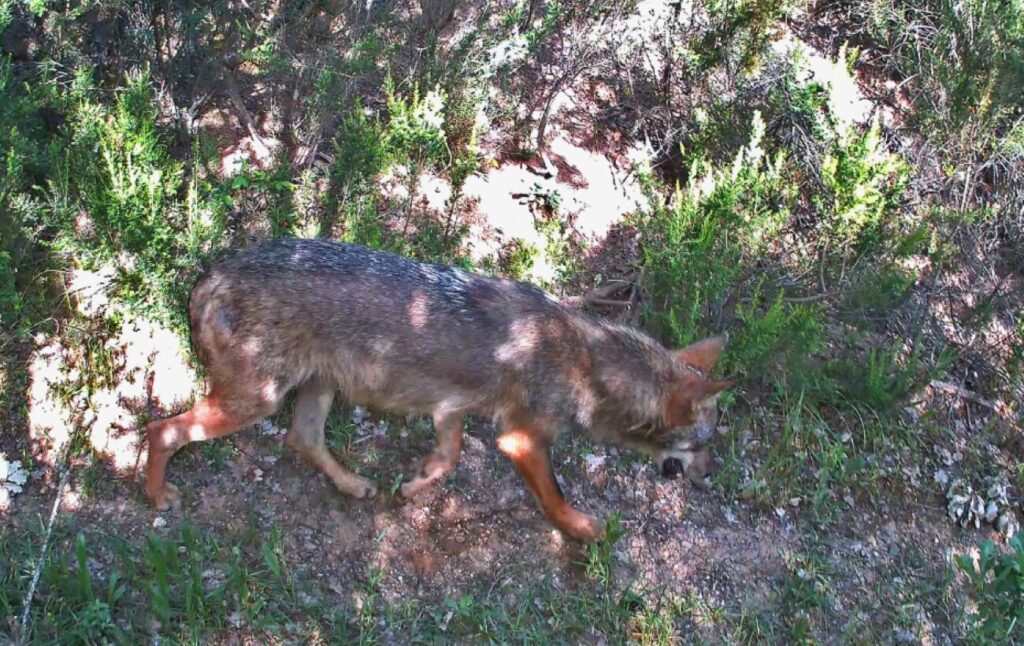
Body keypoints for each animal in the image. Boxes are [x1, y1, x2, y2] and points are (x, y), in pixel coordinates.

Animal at [144, 238, 731, 542]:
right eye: (701, 445)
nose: (711, 476)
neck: (588, 364)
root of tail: (211, 274)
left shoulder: (452, 408)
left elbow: (448, 458)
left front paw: (414, 484)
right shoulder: (520, 440)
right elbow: (555, 497)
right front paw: (586, 531)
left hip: (317, 389)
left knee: (301, 440)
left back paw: (356, 486)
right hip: (255, 401)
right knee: (160, 429)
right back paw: (157, 496)